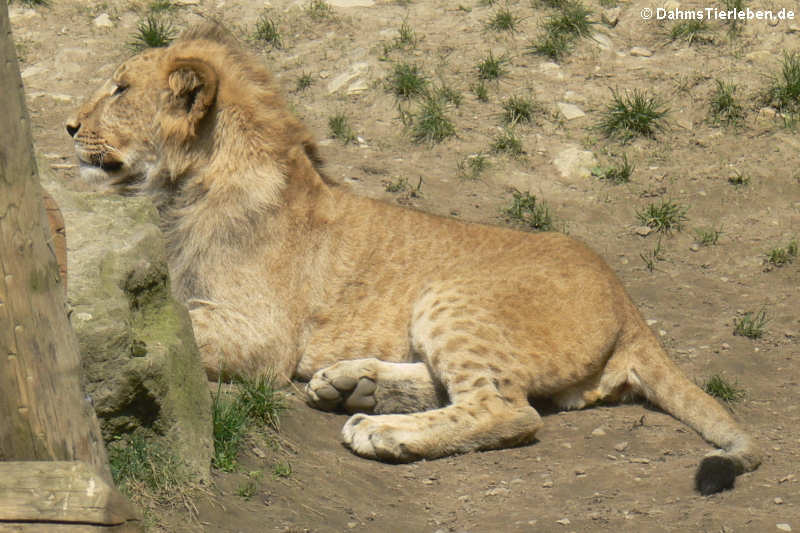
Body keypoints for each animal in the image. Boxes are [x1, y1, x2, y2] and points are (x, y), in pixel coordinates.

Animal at [67, 22, 756, 492]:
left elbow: (185, 328)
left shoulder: (263, 337)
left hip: (453, 295)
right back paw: (356, 385)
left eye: (120, 89)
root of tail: (625, 299)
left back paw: (381, 428)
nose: (69, 127)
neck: (187, 187)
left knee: (510, 408)